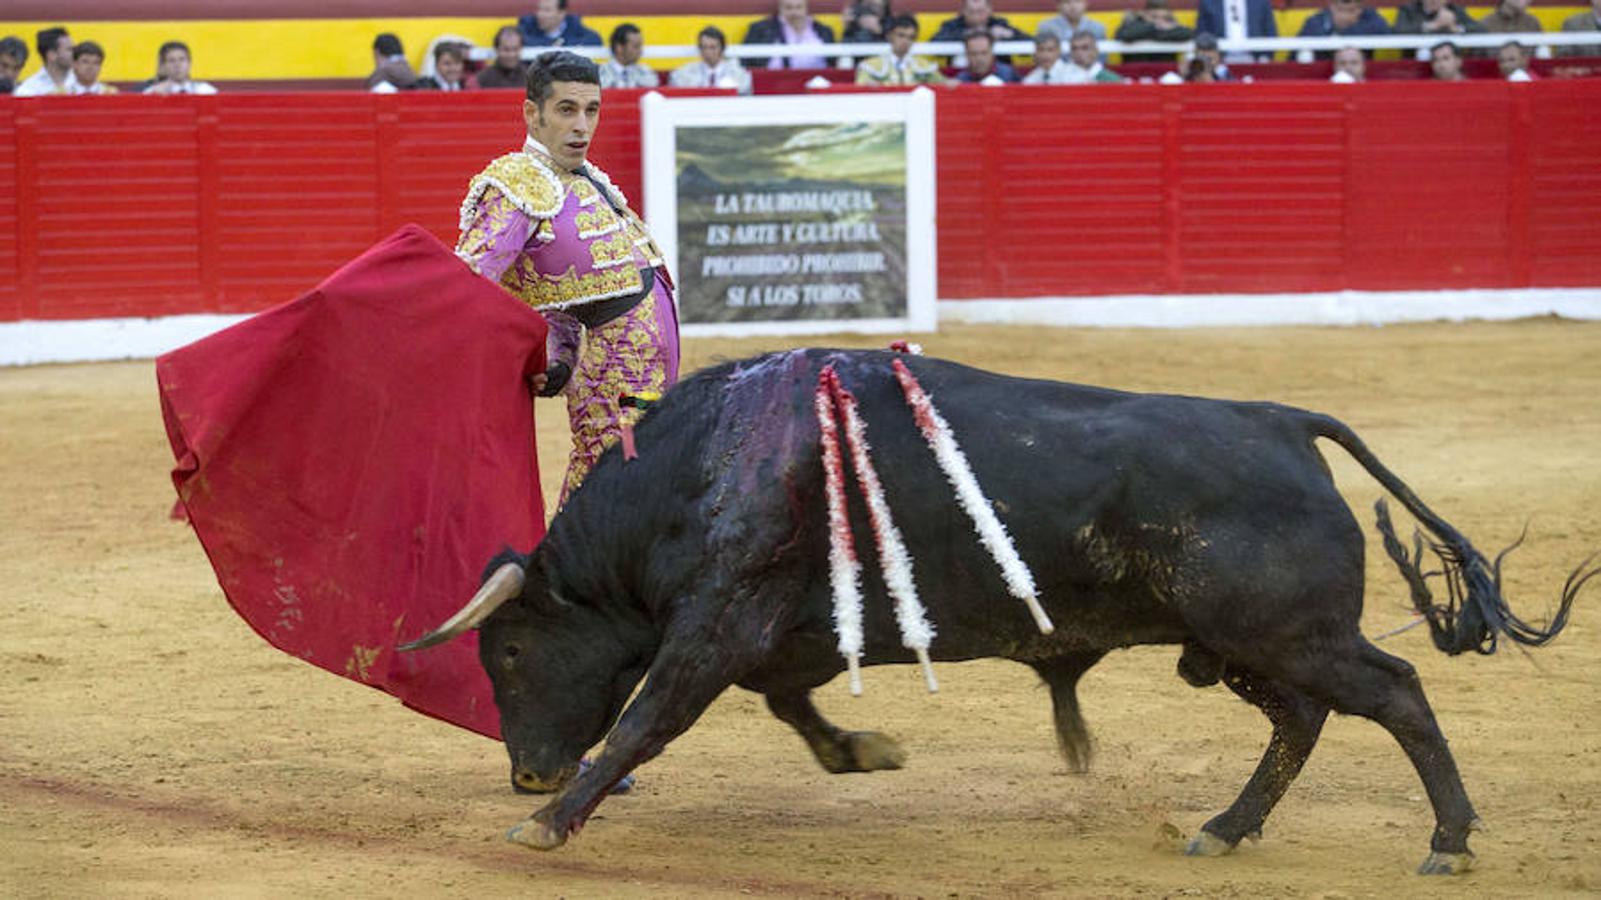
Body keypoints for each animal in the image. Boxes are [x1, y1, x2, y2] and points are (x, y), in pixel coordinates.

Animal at [400, 347, 1588, 871]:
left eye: (509, 653)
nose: (528, 771)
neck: (710, 460)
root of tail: (1282, 420)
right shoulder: (776, 632)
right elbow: (787, 704)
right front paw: (864, 751)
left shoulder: (716, 627)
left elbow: (647, 717)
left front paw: (550, 821)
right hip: (1240, 643)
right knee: (1303, 718)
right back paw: (1220, 828)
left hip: (1289, 631)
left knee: (1394, 693)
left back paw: (1446, 840)